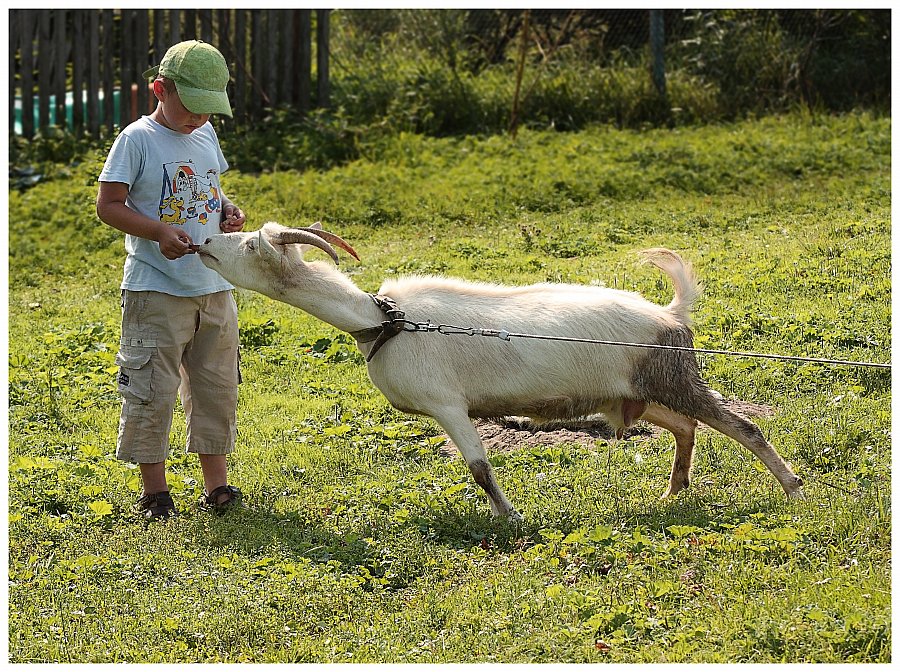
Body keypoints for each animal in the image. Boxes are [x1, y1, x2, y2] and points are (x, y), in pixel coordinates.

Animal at [200, 224, 804, 520]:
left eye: (249, 244)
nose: (203, 242)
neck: (383, 321)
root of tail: (670, 315)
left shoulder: (448, 405)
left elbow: (480, 468)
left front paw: (511, 519)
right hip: (637, 393)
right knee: (685, 426)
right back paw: (673, 493)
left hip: (674, 376)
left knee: (741, 426)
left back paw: (793, 487)